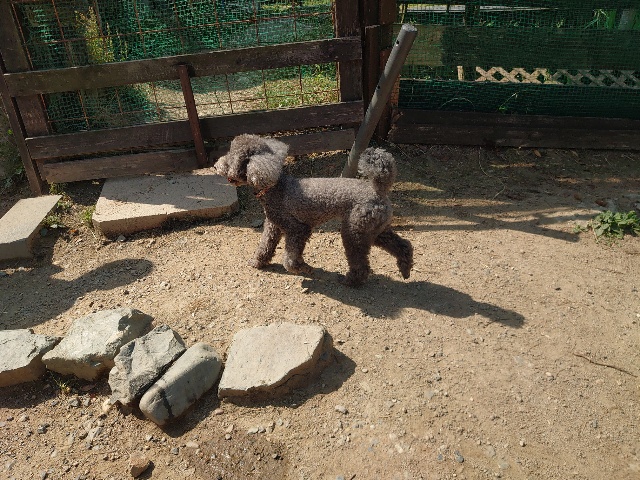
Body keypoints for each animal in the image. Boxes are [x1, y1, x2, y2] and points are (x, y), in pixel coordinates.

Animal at [214, 134, 413, 286]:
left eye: (232, 158)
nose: (216, 165)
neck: (275, 186)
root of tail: (378, 189)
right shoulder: (273, 225)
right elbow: (265, 245)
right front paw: (257, 262)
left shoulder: (298, 229)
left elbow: (289, 260)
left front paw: (305, 268)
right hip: (373, 228)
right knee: (403, 244)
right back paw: (405, 269)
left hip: (354, 231)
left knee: (362, 264)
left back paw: (350, 281)